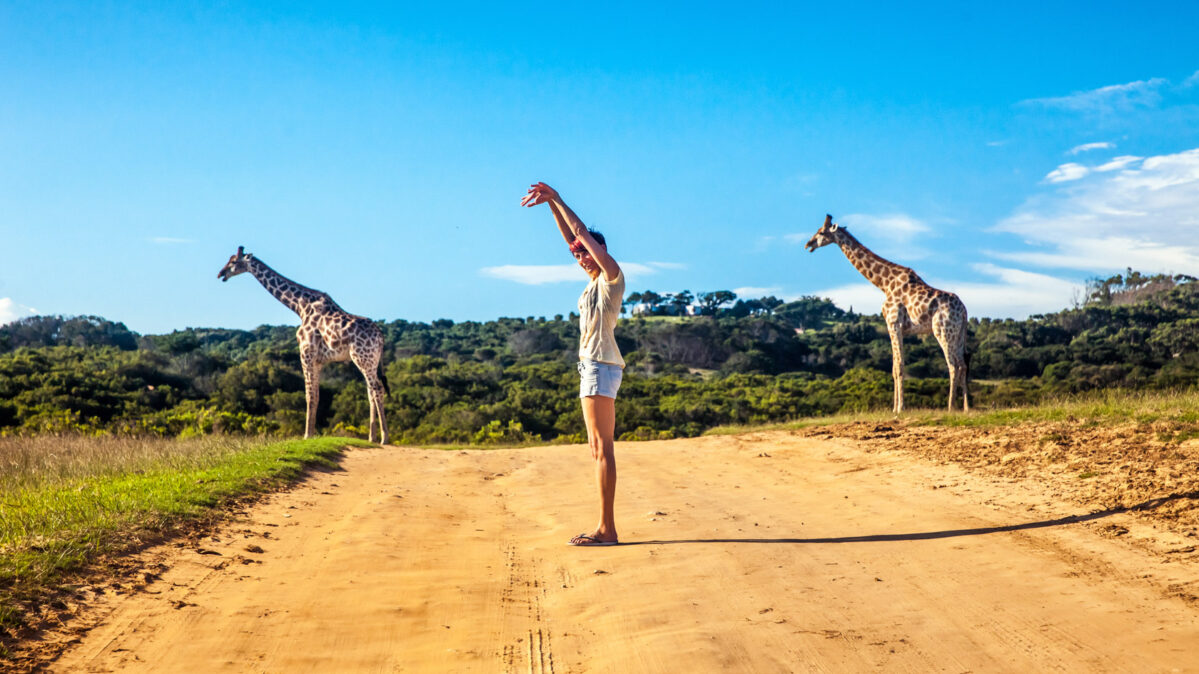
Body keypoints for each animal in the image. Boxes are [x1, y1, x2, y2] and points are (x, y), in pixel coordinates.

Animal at [218, 247, 390, 441]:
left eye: (233, 262)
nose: (221, 274)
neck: (299, 306)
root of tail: (381, 337)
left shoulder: (306, 353)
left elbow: (309, 395)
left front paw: (307, 435)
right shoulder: (318, 360)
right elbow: (316, 394)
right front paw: (312, 433)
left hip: (363, 358)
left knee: (377, 389)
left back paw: (384, 437)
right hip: (371, 361)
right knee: (371, 391)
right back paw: (372, 437)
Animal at [800, 212, 968, 410]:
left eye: (820, 232)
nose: (808, 244)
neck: (884, 284)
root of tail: (964, 311)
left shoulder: (894, 324)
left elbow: (900, 366)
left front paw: (900, 408)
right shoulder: (896, 327)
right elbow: (894, 368)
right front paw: (894, 408)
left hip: (942, 331)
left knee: (953, 366)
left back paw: (951, 407)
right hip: (959, 334)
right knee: (963, 365)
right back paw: (966, 408)